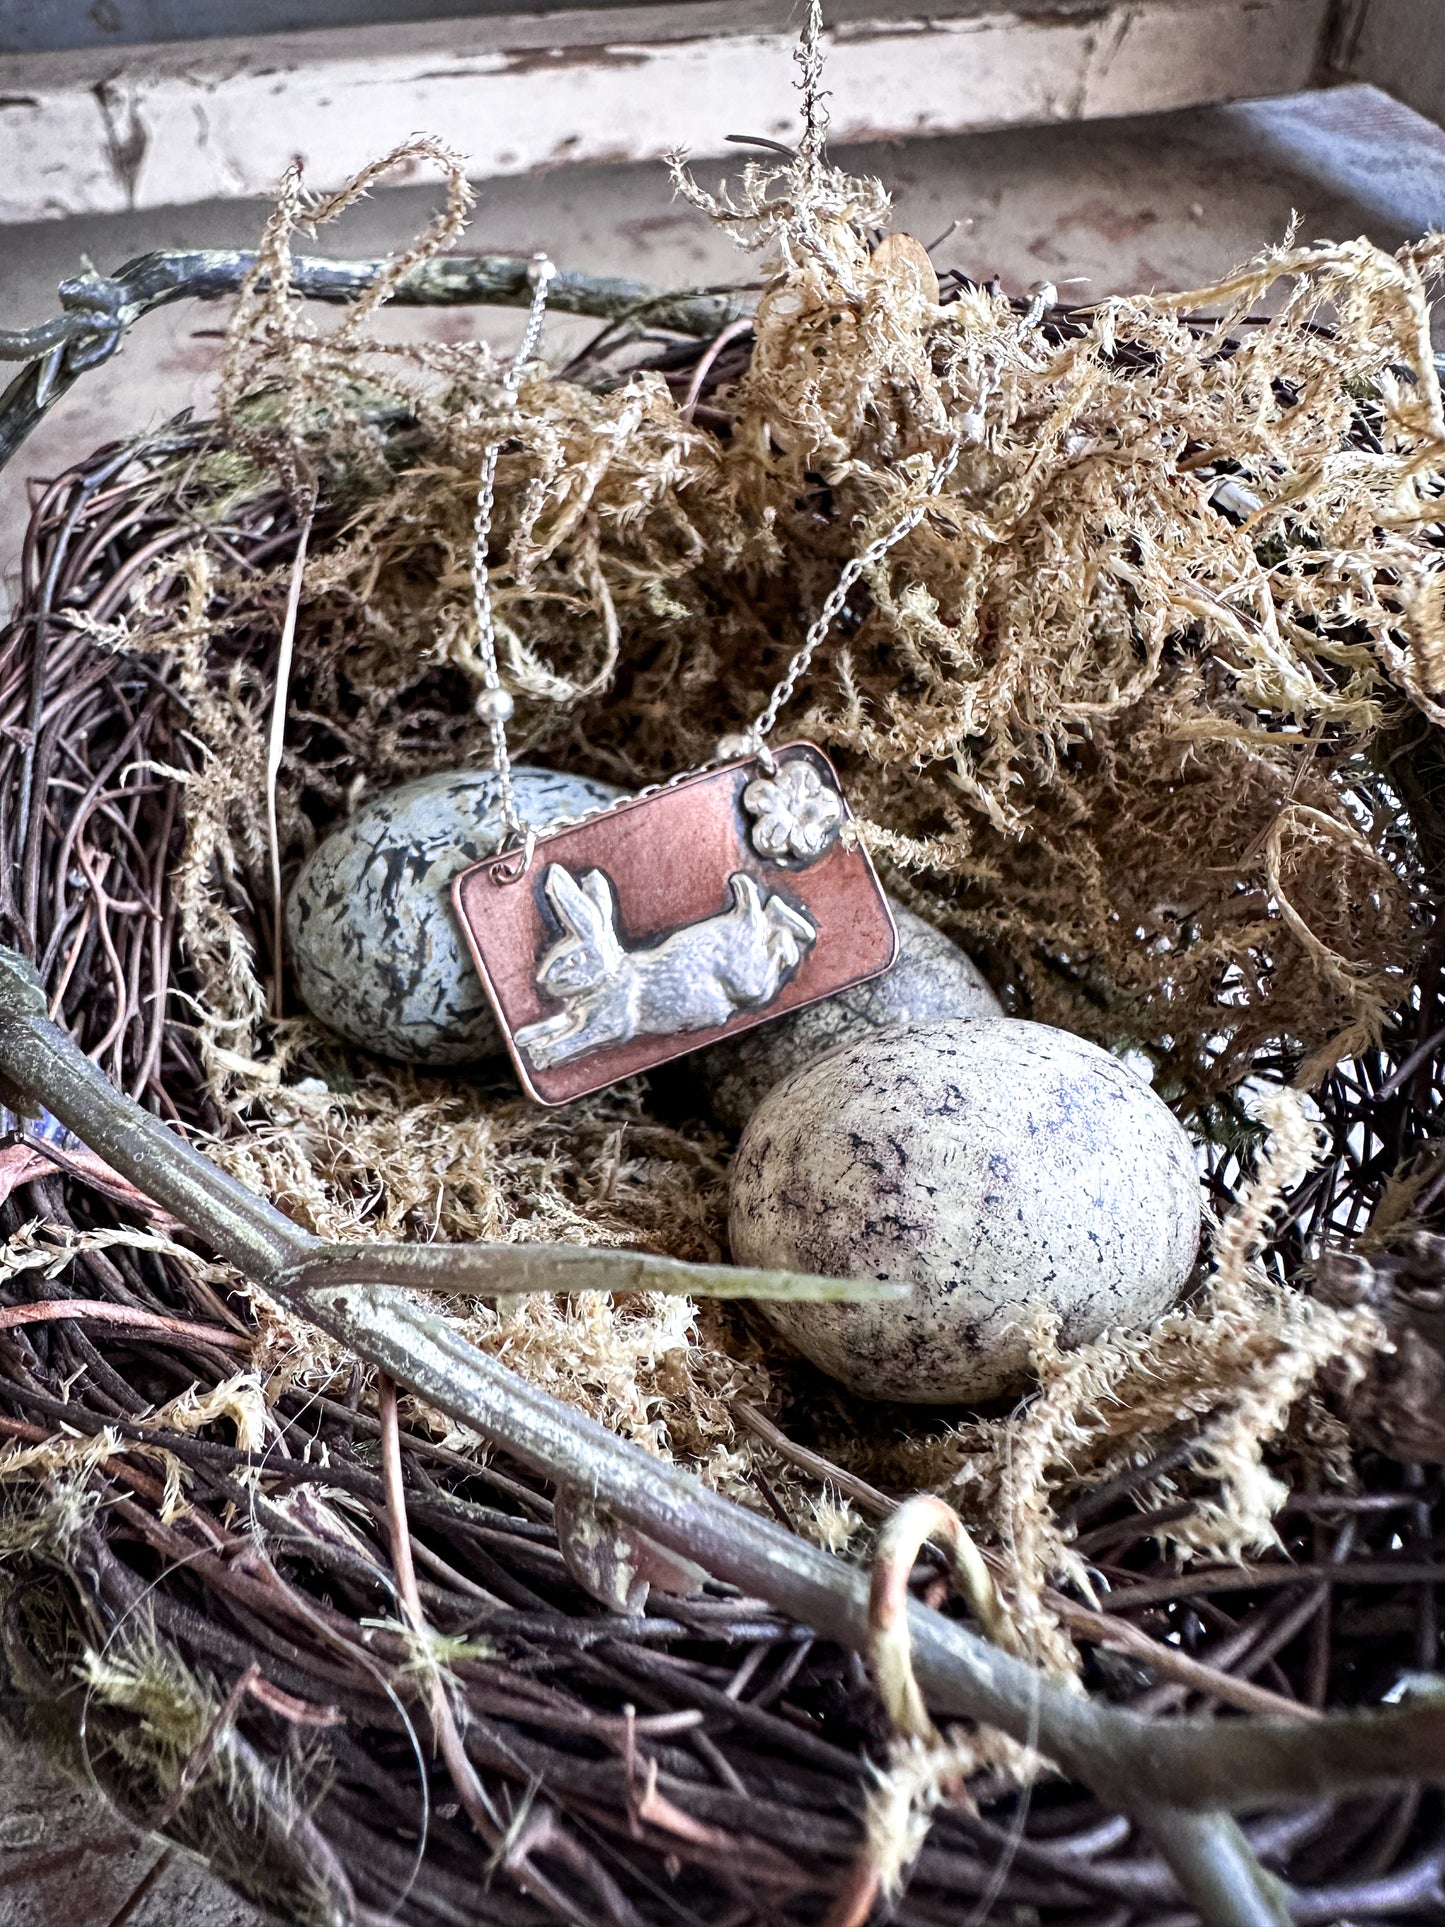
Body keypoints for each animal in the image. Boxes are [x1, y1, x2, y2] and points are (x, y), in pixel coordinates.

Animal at [514, 862, 817, 1070]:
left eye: (574, 959)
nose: (541, 981)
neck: (609, 975)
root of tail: (743, 915)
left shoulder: (609, 1025)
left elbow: (576, 1040)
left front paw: (544, 1054)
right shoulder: (573, 1016)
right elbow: (555, 1024)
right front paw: (525, 1039)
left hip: (749, 982)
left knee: (778, 938)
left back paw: (797, 942)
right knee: (771, 909)